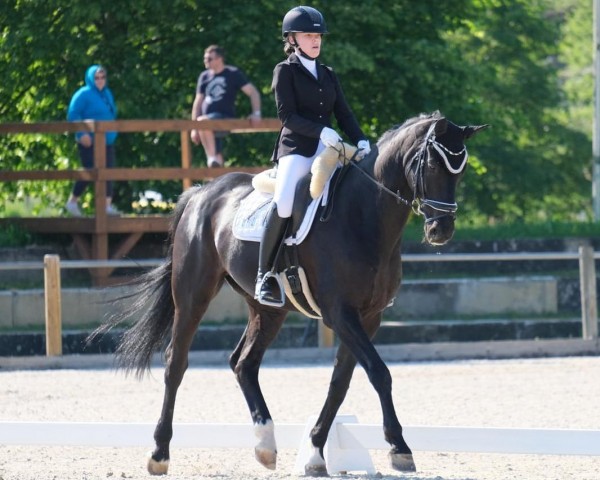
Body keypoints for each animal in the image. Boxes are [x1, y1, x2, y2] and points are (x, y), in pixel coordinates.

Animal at [94, 110, 488, 474]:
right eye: (432, 163)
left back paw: (265, 446)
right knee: (176, 361)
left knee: (243, 363)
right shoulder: (340, 314)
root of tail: (201, 193)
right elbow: (379, 373)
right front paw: (399, 448)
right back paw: (159, 454)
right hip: (193, 293)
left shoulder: (368, 317)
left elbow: (340, 382)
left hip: (268, 309)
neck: (364, 216)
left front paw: (315, 453)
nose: (441, 230)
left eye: (460, 171)